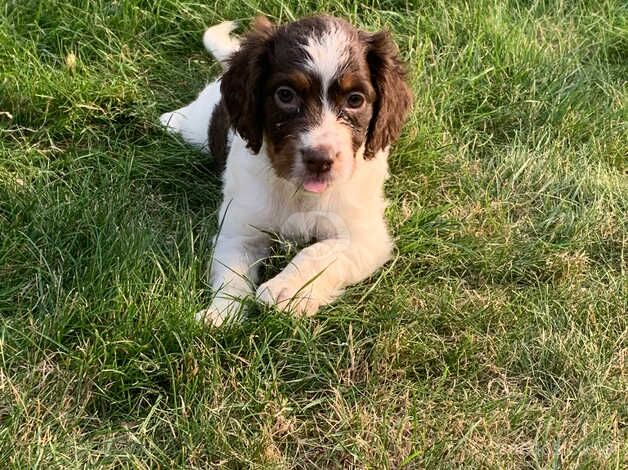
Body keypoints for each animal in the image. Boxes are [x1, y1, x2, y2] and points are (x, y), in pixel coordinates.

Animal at [159, 14, 410, 324]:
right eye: (285, 95)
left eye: (355, 100)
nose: (319, 160)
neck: (298, 191)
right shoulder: (240, 228)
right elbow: (231, 273)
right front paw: (221, 313)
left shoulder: (366, 237)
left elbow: (320, 251)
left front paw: (286, 289)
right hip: (201, 126)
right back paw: (171, 119)